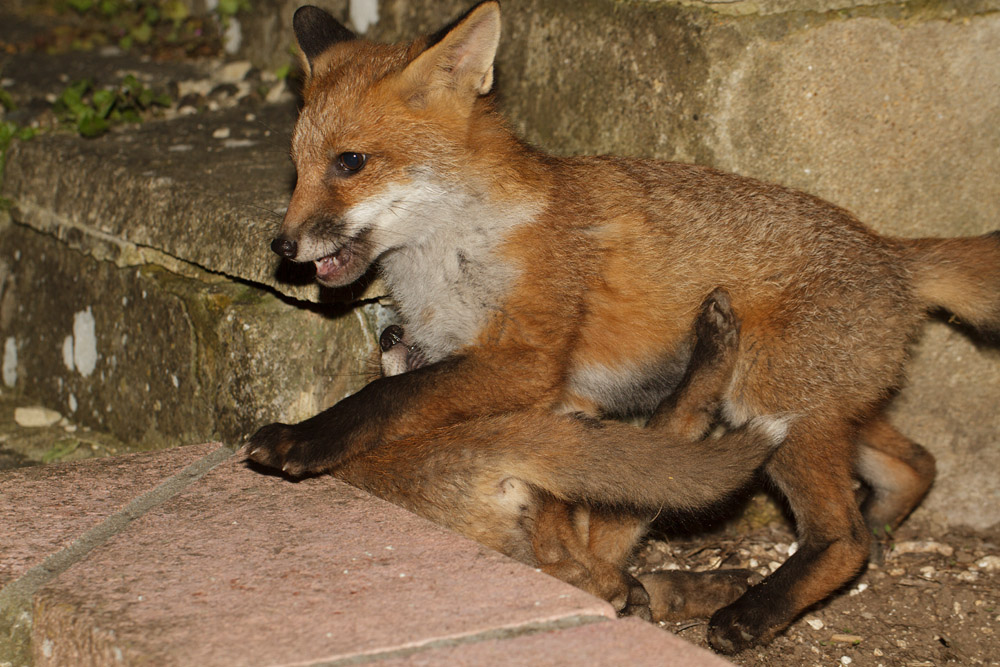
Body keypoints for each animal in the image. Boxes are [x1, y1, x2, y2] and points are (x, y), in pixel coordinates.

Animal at [242, 1, 1000, 654]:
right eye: (297, 168)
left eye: (350, 162)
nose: (282, 246)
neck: (455, 253)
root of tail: (892, 253)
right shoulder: (536, 386)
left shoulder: (527, 360)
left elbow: (385, 397)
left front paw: (303, 440)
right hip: (821, 411)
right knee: (914, 464)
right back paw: (880, 527)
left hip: (777, 406)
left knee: (841, 536)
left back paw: (753, 614)